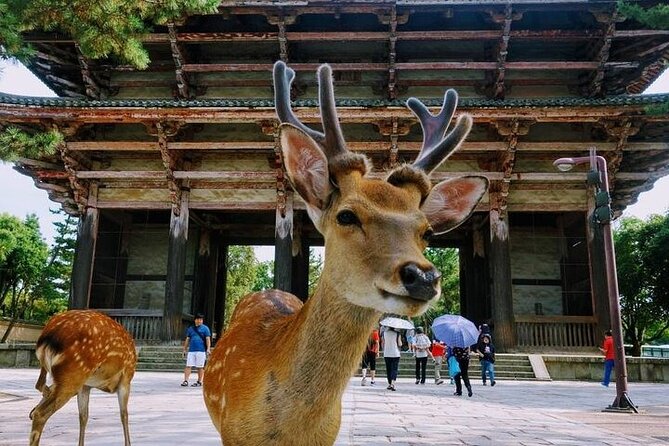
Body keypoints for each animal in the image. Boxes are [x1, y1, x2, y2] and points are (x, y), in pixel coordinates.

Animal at [29, 309, 137, 446]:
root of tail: (48, 336)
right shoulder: (126, 379)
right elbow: (124, 415)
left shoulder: (86, 386)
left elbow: (83, 416)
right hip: (74, 372)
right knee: (41, 413)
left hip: (64, 374)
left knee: (40, 386)